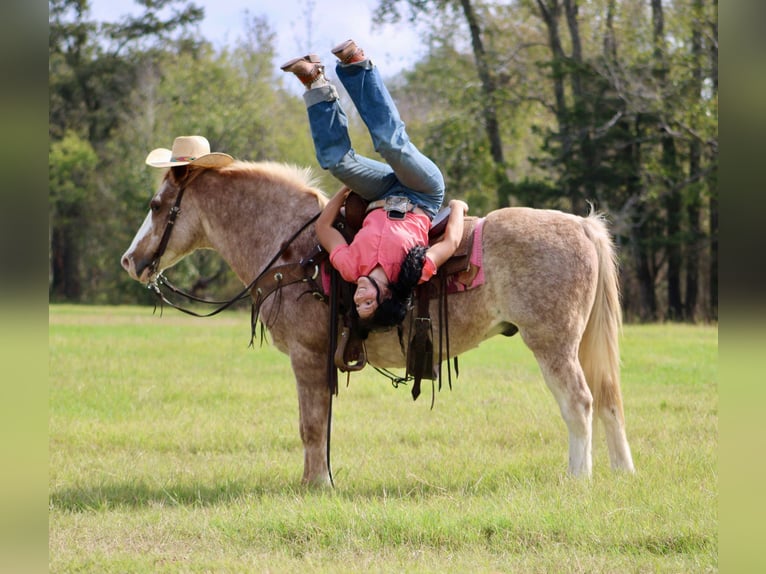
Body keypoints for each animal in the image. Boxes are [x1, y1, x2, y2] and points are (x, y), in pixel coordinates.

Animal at [120, 161, 636, 486]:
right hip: (579, 345)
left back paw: (578, 477)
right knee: (609, 399)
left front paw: (315, 485)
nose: (130, 260)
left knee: (580, 403)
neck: (296, 251)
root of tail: (582, 225)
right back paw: (621, 472)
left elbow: (311, 425)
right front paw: (319, 478)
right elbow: (320, 423)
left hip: (552, 344)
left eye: (155, 204)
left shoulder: (307, 357)